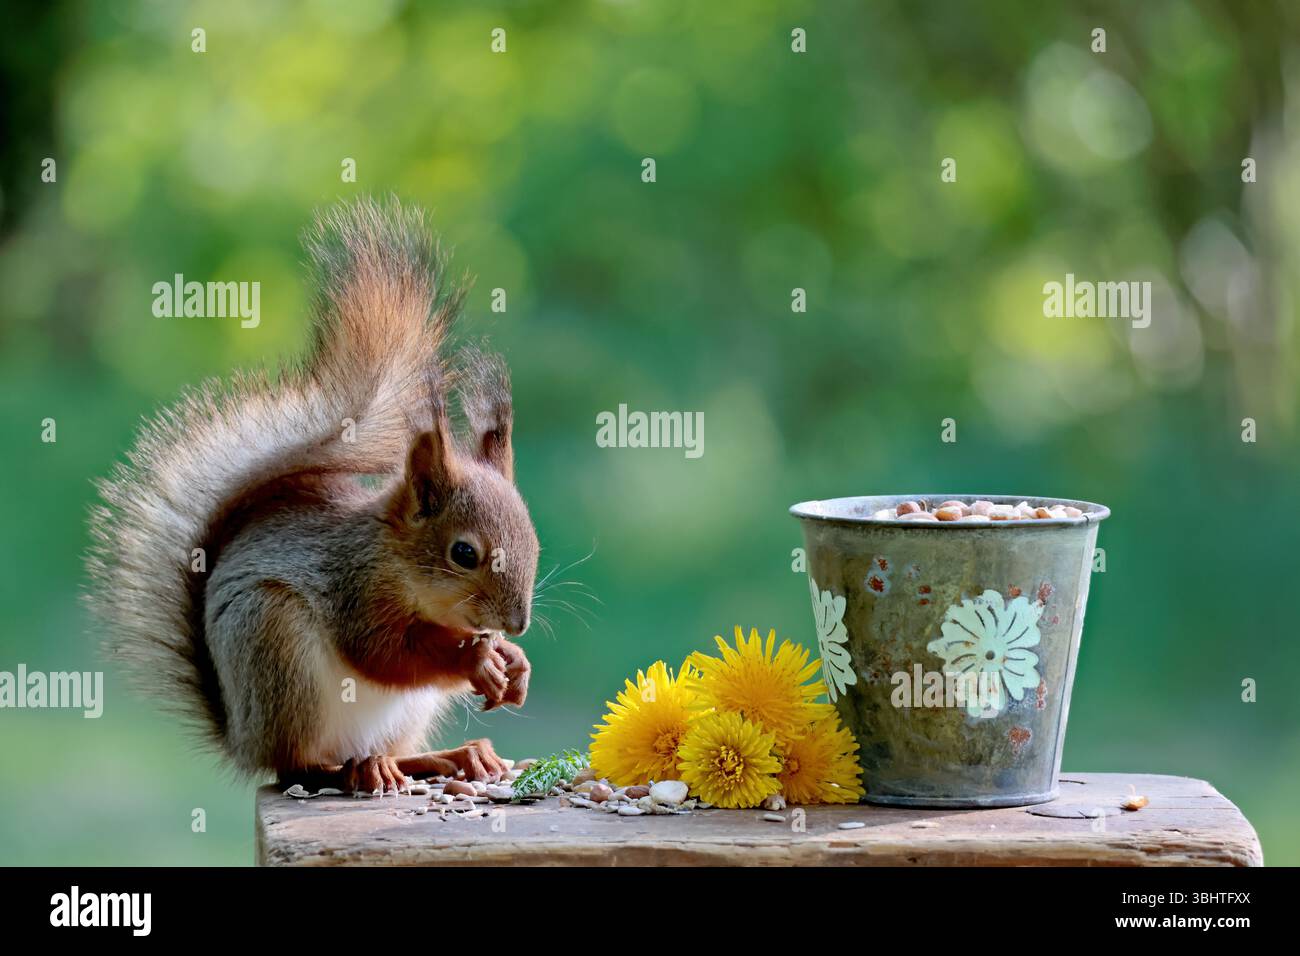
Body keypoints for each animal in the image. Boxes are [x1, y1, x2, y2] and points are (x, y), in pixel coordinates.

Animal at [86, 197, 539, 793]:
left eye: (534, 543)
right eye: (463, 553)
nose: (518, 623)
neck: (393, 558)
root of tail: (242, 737)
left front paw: (514, 662)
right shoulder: (353, 590)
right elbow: (384, 654)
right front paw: (475, 661)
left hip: (400, 713)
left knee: (386, 752)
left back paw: (448, 758)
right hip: (276, 648)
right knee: (297, 764)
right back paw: (356, 769)